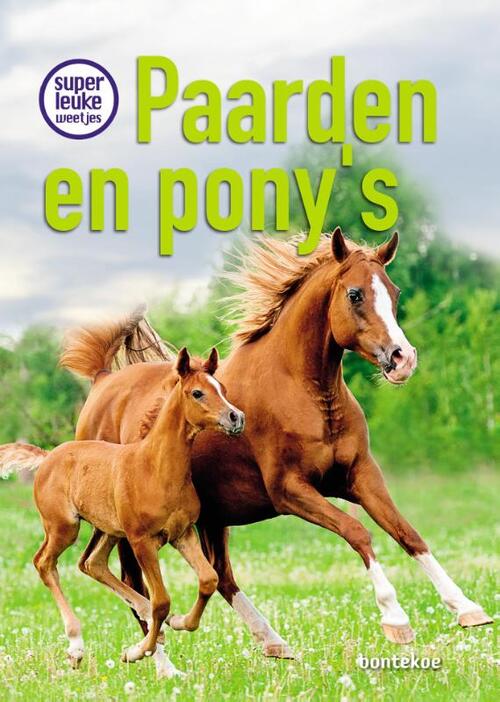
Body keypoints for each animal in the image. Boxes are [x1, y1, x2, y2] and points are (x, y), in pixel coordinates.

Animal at [1, 348, 245, 676]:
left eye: (223, 389)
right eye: (197, 393)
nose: (236, 417)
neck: (155, 468)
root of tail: (48, 456)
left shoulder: (182, 534)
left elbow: (208, 580)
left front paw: (180, 622)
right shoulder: (142, 540)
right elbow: (162, 601)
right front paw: (136, 652)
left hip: (109, 530)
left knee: (93, 563)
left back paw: (150, 619)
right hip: (65, 527)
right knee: (44, 563)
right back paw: (76, 647)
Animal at [54, 227, 493, 672]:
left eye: (394, 291)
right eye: (355, 294)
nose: (403, 359)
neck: (304, 391)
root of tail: (103, 382)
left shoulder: (360, 476)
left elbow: (407, 533)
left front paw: (467, 608)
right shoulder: (290, 490)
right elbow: (358, 533)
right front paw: (395, 619)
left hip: (212, 516)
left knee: (220, 576)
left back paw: (271, 640)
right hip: (129, 526)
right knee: (133, 581)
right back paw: (161, 664)